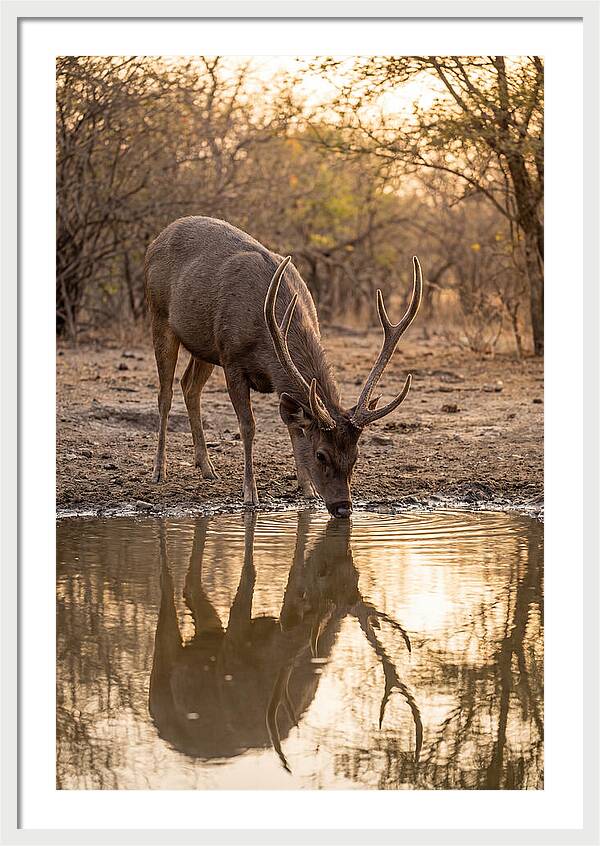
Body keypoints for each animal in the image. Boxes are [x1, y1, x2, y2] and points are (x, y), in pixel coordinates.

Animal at [144, 217, 422, 517]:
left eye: (356, 455)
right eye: (321, 454)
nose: (343, 507)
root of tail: (156, 240)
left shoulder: (273, 377)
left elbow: (293, 427)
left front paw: (307, 489)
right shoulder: (232, 359)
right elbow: (248, 426)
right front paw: (250, 494)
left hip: (203, 346)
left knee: (189, 386)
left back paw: (207, 468)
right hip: (159, 315)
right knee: (165, 394)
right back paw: (159, 471)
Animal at [149, 511, 421, 773]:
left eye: (356, 574)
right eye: (323, 571)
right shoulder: (231, 651)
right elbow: (252, 575)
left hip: (208, 634)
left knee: (191, 590)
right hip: (162, 677)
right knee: (167, 599)